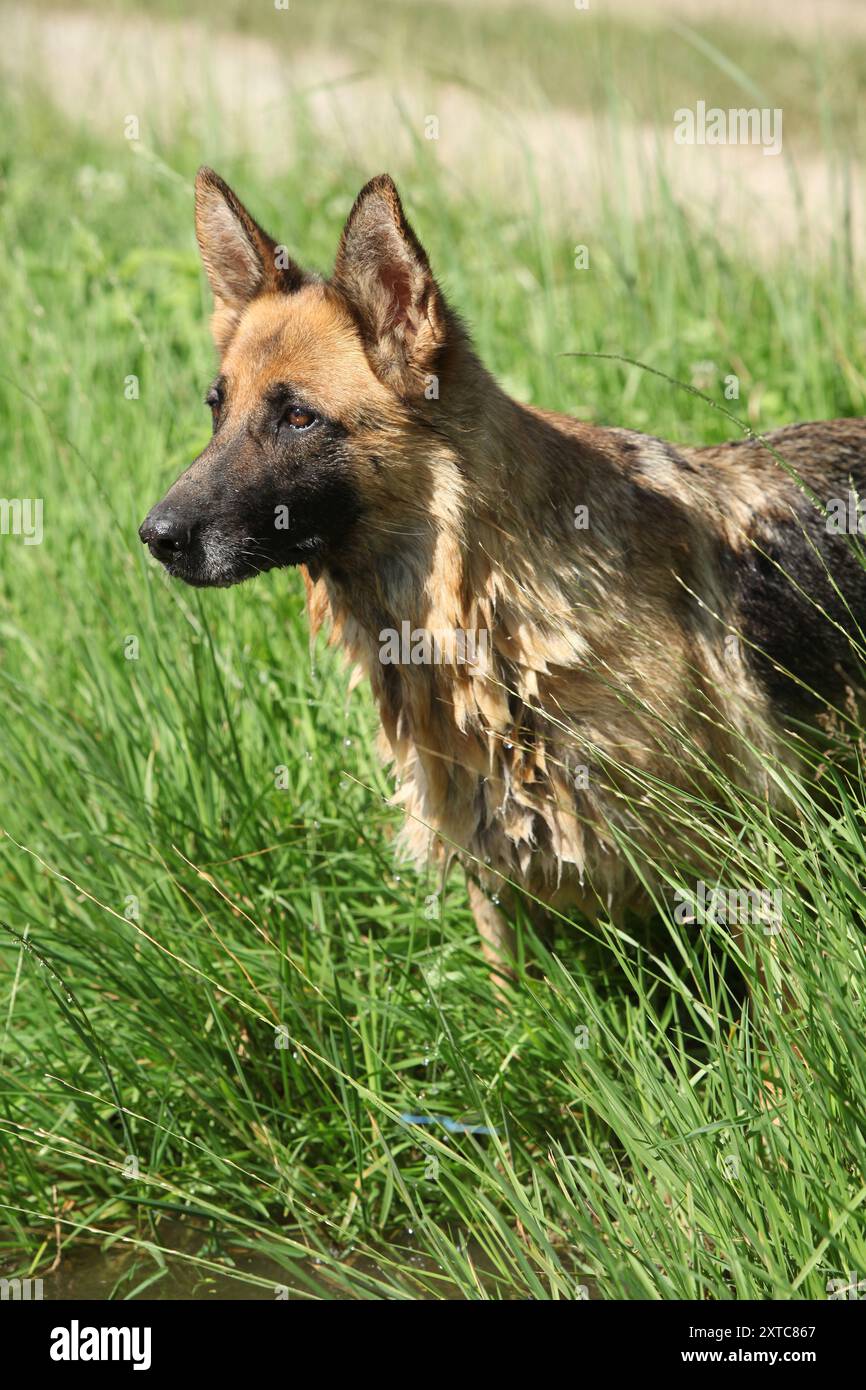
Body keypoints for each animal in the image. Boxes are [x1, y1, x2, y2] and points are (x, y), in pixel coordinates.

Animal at [140, 173, 866, 973]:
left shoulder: (744, 865)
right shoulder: (488, 856)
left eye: (298, 418)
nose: (155, 537)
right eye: (217, 408)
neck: (488, 593)